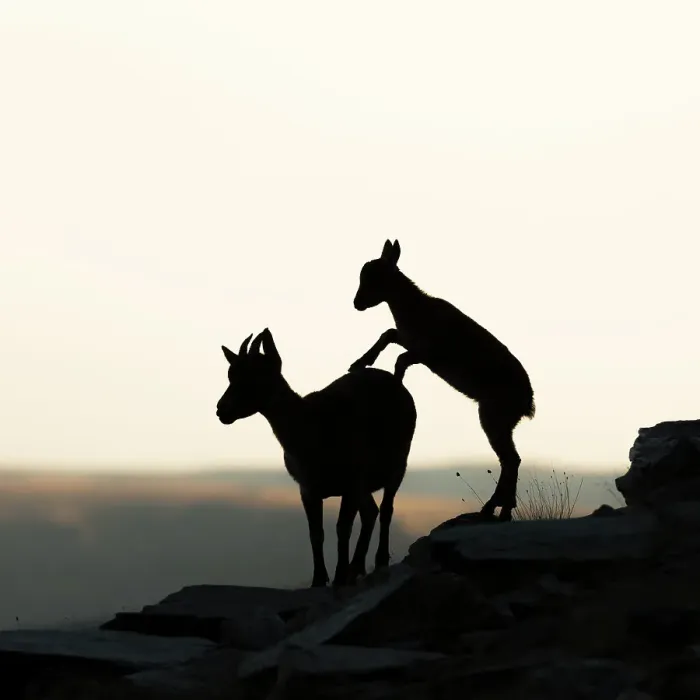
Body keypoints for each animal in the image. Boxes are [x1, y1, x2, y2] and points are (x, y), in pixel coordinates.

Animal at [216, 328, 417, 587]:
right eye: (231, 375)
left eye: (254, 376)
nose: (221, 410)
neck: (311, 430)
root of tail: (396, 382)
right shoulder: (308, 489)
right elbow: (315, 533)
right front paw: (319, 579)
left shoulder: (351, 483)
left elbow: (342, 528)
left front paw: (339, 577)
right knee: (370, 512)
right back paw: (357, 566)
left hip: (398, 465)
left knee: (385, 509)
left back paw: (377, 560)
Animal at [349, 239, 535, 522]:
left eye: (374, 277)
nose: (357, 303)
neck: (416, 310)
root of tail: (528, 402)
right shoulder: (409, 340)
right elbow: (388, 334)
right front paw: (359, 363)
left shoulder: (426, 353)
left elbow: (400, 358)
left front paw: (394, 383)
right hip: (501, 421)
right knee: (511, 459)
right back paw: (500, 509)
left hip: (492, 416)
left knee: (511, 459)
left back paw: (494, 509)